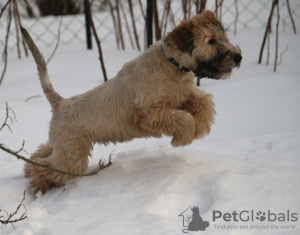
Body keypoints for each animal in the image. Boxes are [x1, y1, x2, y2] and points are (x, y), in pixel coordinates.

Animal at [20, 10, 241, 194]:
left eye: (224, 36)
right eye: (211, 41)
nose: (238, 57)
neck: (171, 63)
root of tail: (61, 103)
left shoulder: (182, 96)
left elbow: (204, 101)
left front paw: (201, 126)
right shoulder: (151, 112)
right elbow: (184, 119)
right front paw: (182, 139)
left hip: (63, 146)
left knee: (39, 155)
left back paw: (29, 173)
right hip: (72, 156)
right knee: (44, 166)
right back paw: (40, 185)